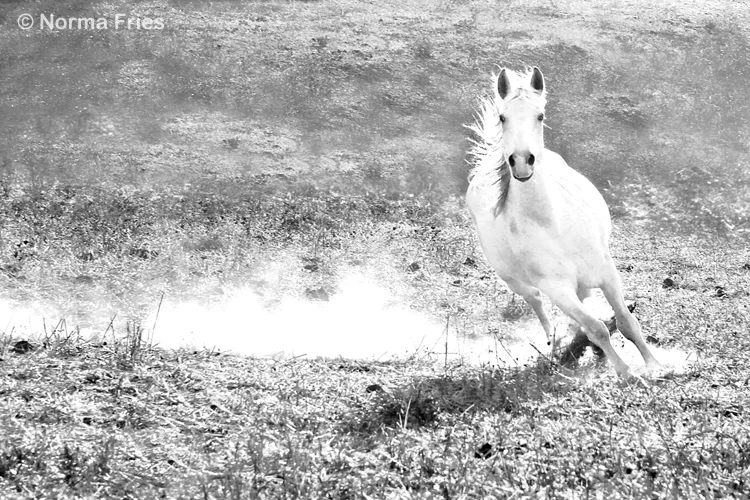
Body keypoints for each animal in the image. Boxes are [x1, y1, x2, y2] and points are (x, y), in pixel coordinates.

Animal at [465, 67, 660, 377]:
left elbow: (628, 322)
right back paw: (554, 340)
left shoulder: (606, 271)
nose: (522, 161)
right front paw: (627, 374)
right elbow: (596, 329)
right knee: (535, 300)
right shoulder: (557, 289)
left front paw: (656, 366)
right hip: (514, 280)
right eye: (503, 117)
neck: (551, 225)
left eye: (540, 116)